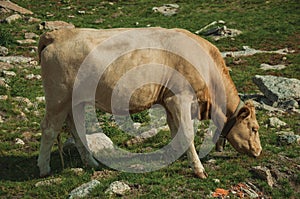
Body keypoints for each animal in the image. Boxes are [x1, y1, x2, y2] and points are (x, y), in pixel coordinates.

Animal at [37, 26, 262, 179]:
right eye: (254, 128)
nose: (259, 151)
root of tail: (57, 35)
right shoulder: (179, 97)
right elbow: (187, 132)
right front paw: (199, 169)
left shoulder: (168, 101)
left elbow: (175, 131)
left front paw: (176, 155)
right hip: (58, 98)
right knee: (49, 129)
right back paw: (44, 169)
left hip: (74, 101)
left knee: (76, 129)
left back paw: (91, 163)